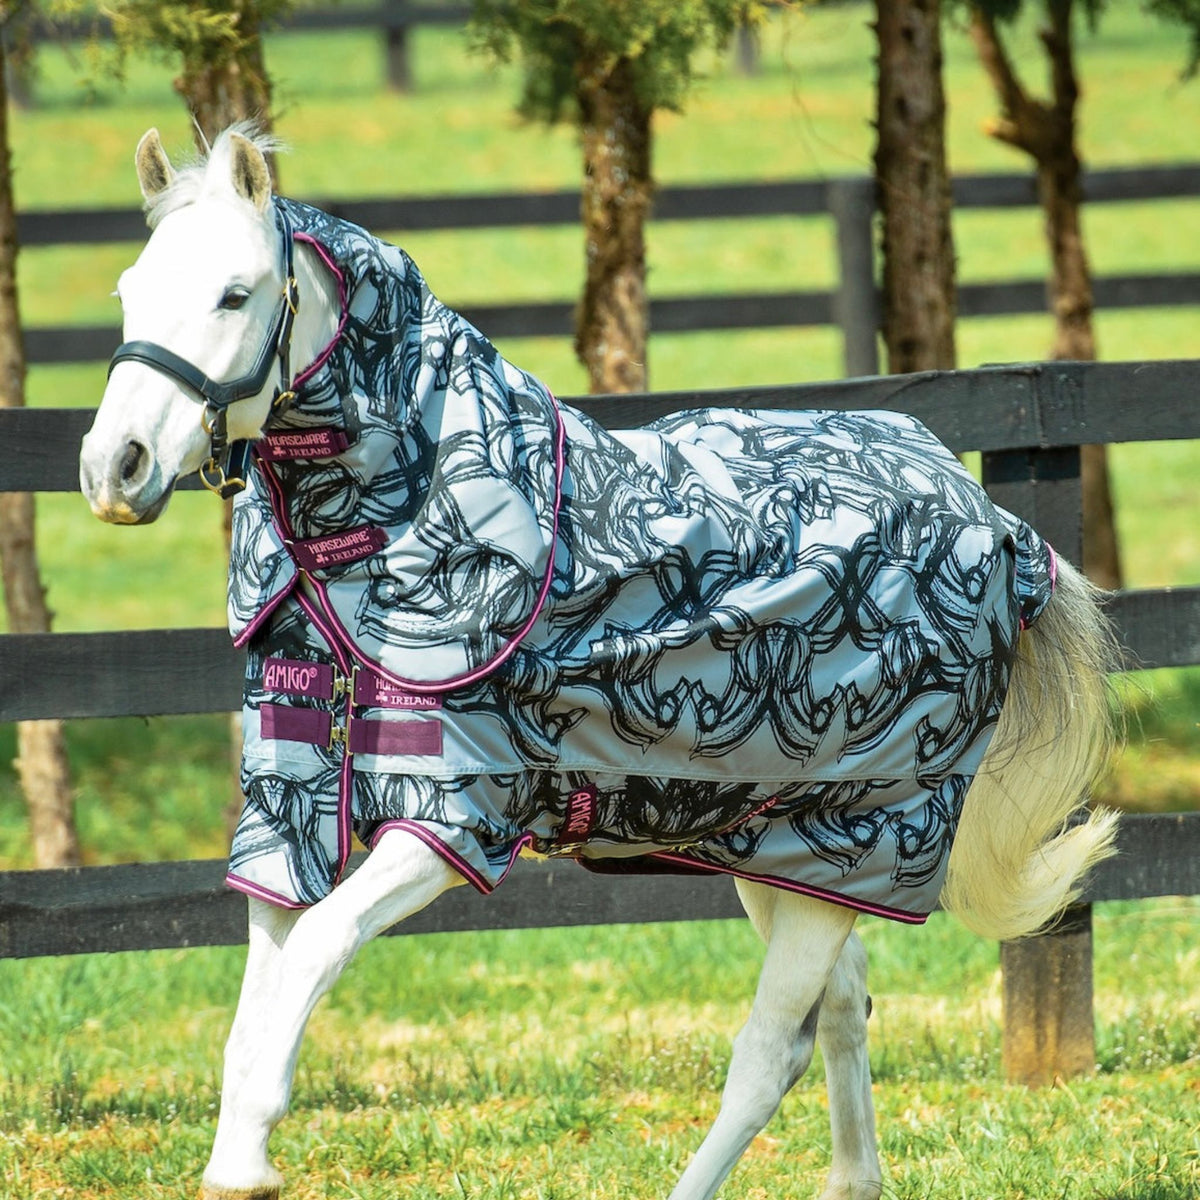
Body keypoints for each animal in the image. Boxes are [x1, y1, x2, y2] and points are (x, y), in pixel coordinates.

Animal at [79, 129, 1118, 1200]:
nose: (115, 468)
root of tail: (994, 525)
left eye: (233, 295)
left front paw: (250, 1152)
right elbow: (261, 988)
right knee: (837, 1010)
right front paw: (238, 1158)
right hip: (783, 851)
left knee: (765, 1054)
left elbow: (316, 951)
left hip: (867, 837)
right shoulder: (285, 804)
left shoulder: (450, 815)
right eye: (129, 290)